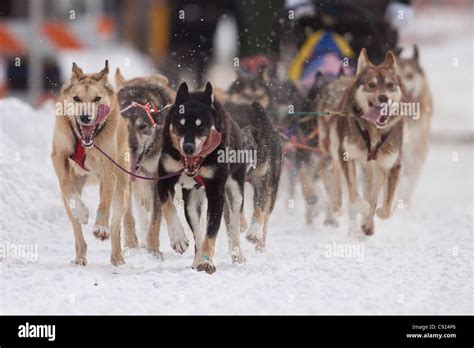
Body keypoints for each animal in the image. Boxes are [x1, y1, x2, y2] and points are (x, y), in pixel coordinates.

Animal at [51, 61, 132, 266]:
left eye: (96, 98)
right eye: (76, 98)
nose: (85, 117)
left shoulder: (108, 171)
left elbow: (104, 203)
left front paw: (100, 227)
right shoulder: (58, 155)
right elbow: (66, 184)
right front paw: (82, 212)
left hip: (121, 189)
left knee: (116, 224)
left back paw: (117, 256)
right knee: (77, 229)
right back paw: (80, 256)